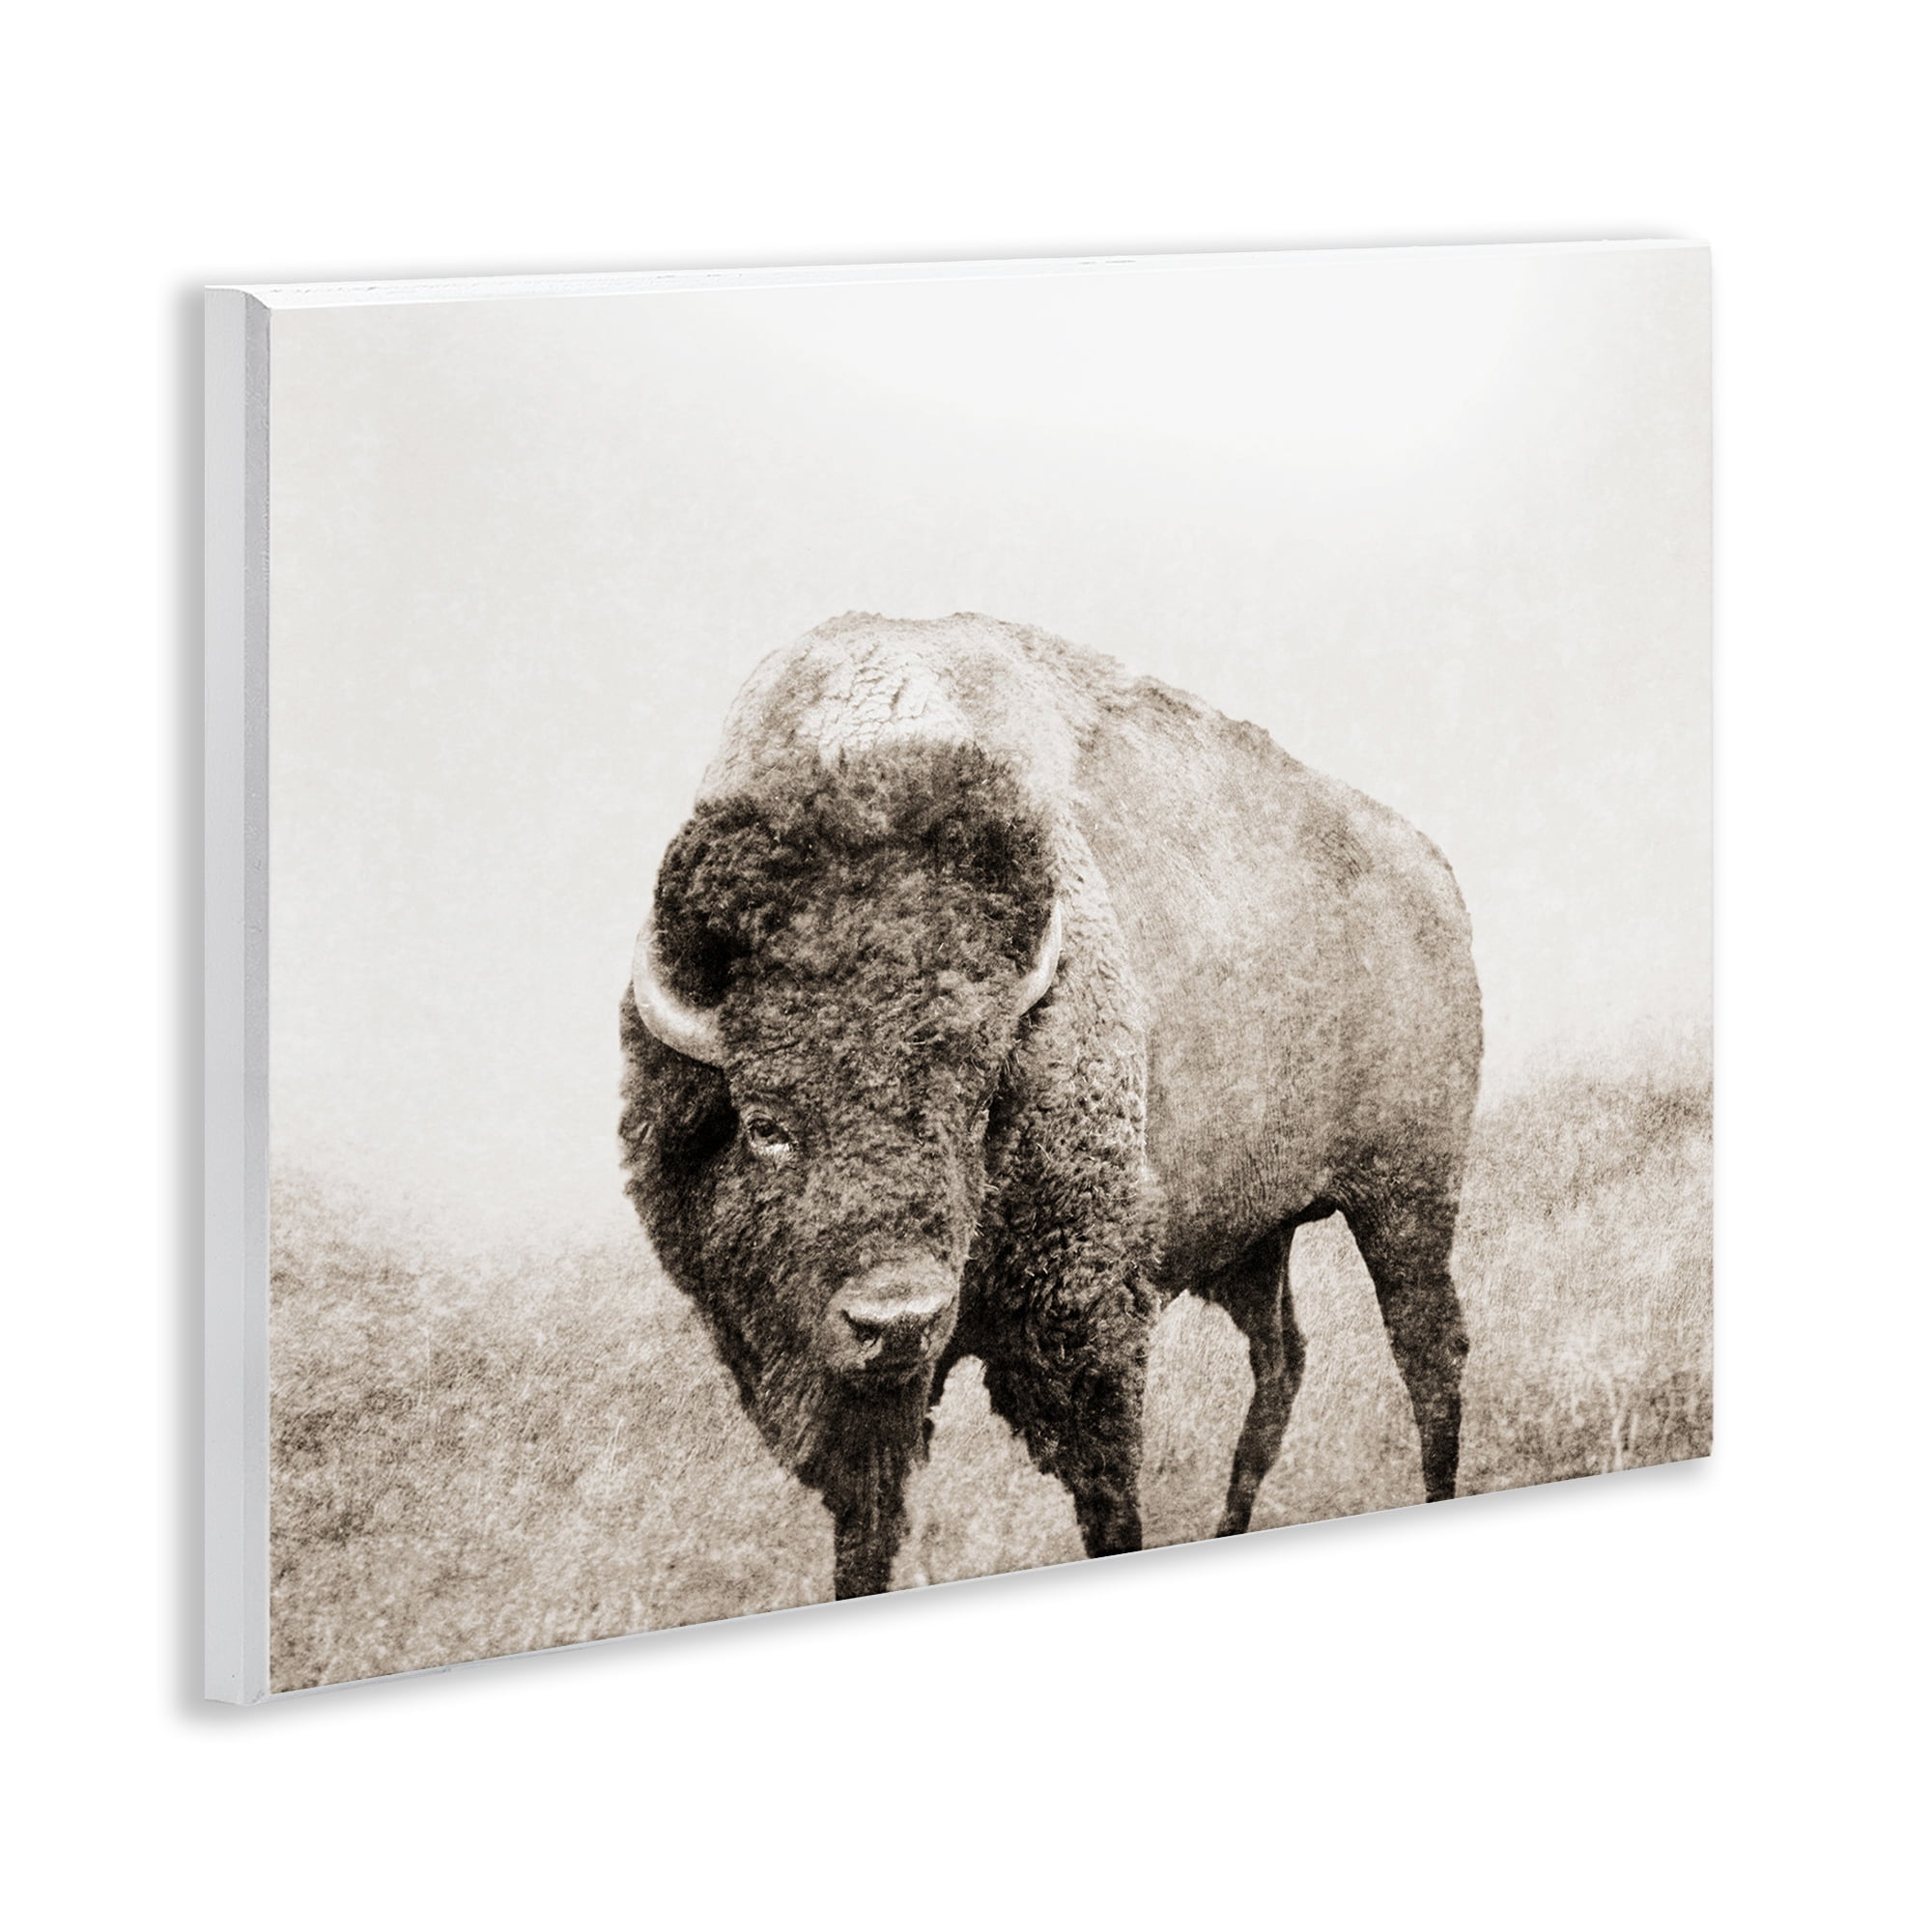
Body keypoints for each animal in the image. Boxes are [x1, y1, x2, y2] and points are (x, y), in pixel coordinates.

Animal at [620, 612, 1482, 1600]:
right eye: (765, 1126)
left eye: (975, 1104)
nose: (898, 1319)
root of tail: (1430, 867)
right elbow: (864, 1534)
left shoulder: (1082, 1326)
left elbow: (1107, 1500)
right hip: (1257, 1237)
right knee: (1281, 1363)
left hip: (1406, 1196)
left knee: (1428, 1352)